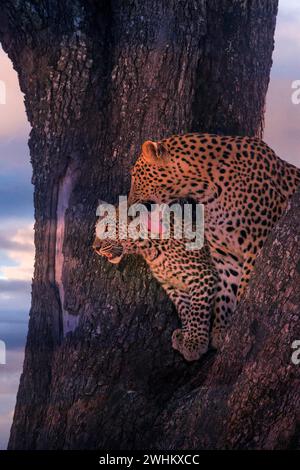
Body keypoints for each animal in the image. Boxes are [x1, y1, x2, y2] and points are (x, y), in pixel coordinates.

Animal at [92, 204, 221, 362]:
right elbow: (184, 309)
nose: (95, 248)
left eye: (107, 228)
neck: (148, 249)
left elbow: (198, 311)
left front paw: (195, 343)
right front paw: (185, 336)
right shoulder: (172, 285)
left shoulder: (203, 275)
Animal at [127, 132, 300, 346]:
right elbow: (225, 292)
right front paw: (221, 331)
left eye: (135, 176)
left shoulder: (257, 243)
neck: (205, 189)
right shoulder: (224, 254)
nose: (129, 206)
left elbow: (244, 284)